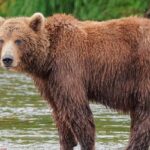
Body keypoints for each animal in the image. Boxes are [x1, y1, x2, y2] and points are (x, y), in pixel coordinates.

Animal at [0, 13, 150, 150]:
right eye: (2, 40)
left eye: (18, 40)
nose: (7, 59)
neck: (47, 58)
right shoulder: (48, 81)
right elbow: (58, 112)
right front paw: (66, 142)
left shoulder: (68, 67)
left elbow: (77, 109)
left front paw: (86, 143)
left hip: (142, 72)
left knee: (143, 115)